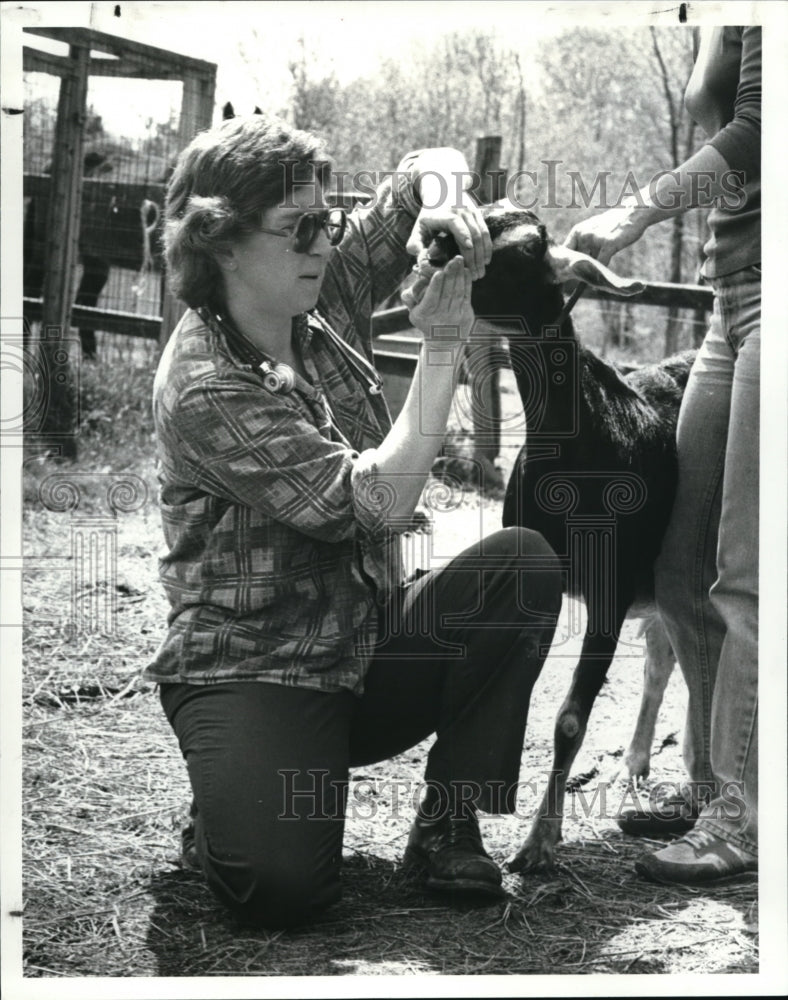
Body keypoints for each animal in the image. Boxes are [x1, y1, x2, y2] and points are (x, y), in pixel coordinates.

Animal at [404, 201, 692, 868]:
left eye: (531, 249)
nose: (438, 243)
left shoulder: (613, 590)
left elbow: (569, 719)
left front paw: (540, 841)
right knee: (664, 655)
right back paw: (635, 763)